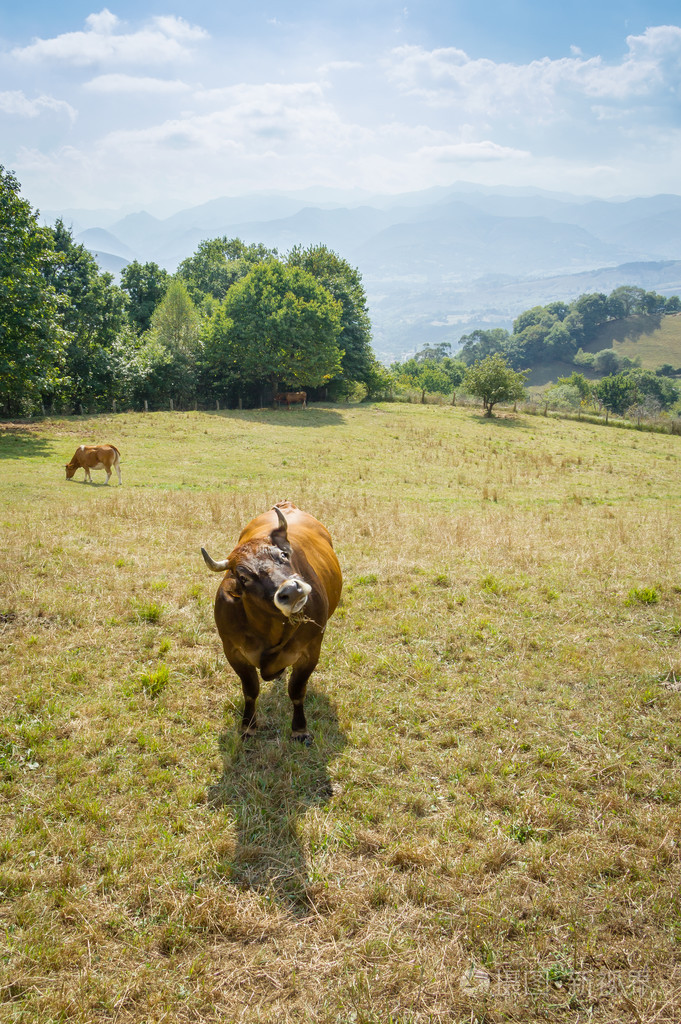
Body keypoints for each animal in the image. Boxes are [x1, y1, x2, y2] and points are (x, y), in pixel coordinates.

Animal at [200, 499, 339, 741]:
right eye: (243, 577)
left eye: (282, 555)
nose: (292, 590)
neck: (271, 628)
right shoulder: (233, 651)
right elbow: (250, 690)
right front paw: (248, 726)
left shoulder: (311, 651)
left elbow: (297, 691)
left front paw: (300, 729)